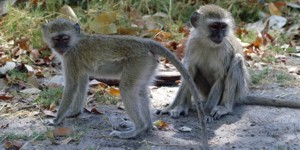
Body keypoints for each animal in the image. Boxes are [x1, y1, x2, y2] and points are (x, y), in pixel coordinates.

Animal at [41, 18, 207, 142]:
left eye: (65, 38)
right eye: (56, 39)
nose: (61, 48)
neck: (76, 41)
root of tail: (145, 42)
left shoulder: (71, 57)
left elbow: (72, 86)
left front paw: (56, 120)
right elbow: (81, 83)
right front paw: (74, 113)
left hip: (138, 62)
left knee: (127, 89)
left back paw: (137, 129)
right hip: (148, 63)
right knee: (140, 90)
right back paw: (147, 126)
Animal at [157, 4, 300, 120]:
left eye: (222, 26)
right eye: (214, 26)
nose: (220, 36)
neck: (208, 43)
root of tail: (242, 95)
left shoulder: (225, 49)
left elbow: (220, 78)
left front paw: (207, 113)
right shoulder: (192, 44)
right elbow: (188, 73)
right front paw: (172, 107)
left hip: (239, 89)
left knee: (237, 60)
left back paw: (224, 107)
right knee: (192, 72)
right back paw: (183, 107)